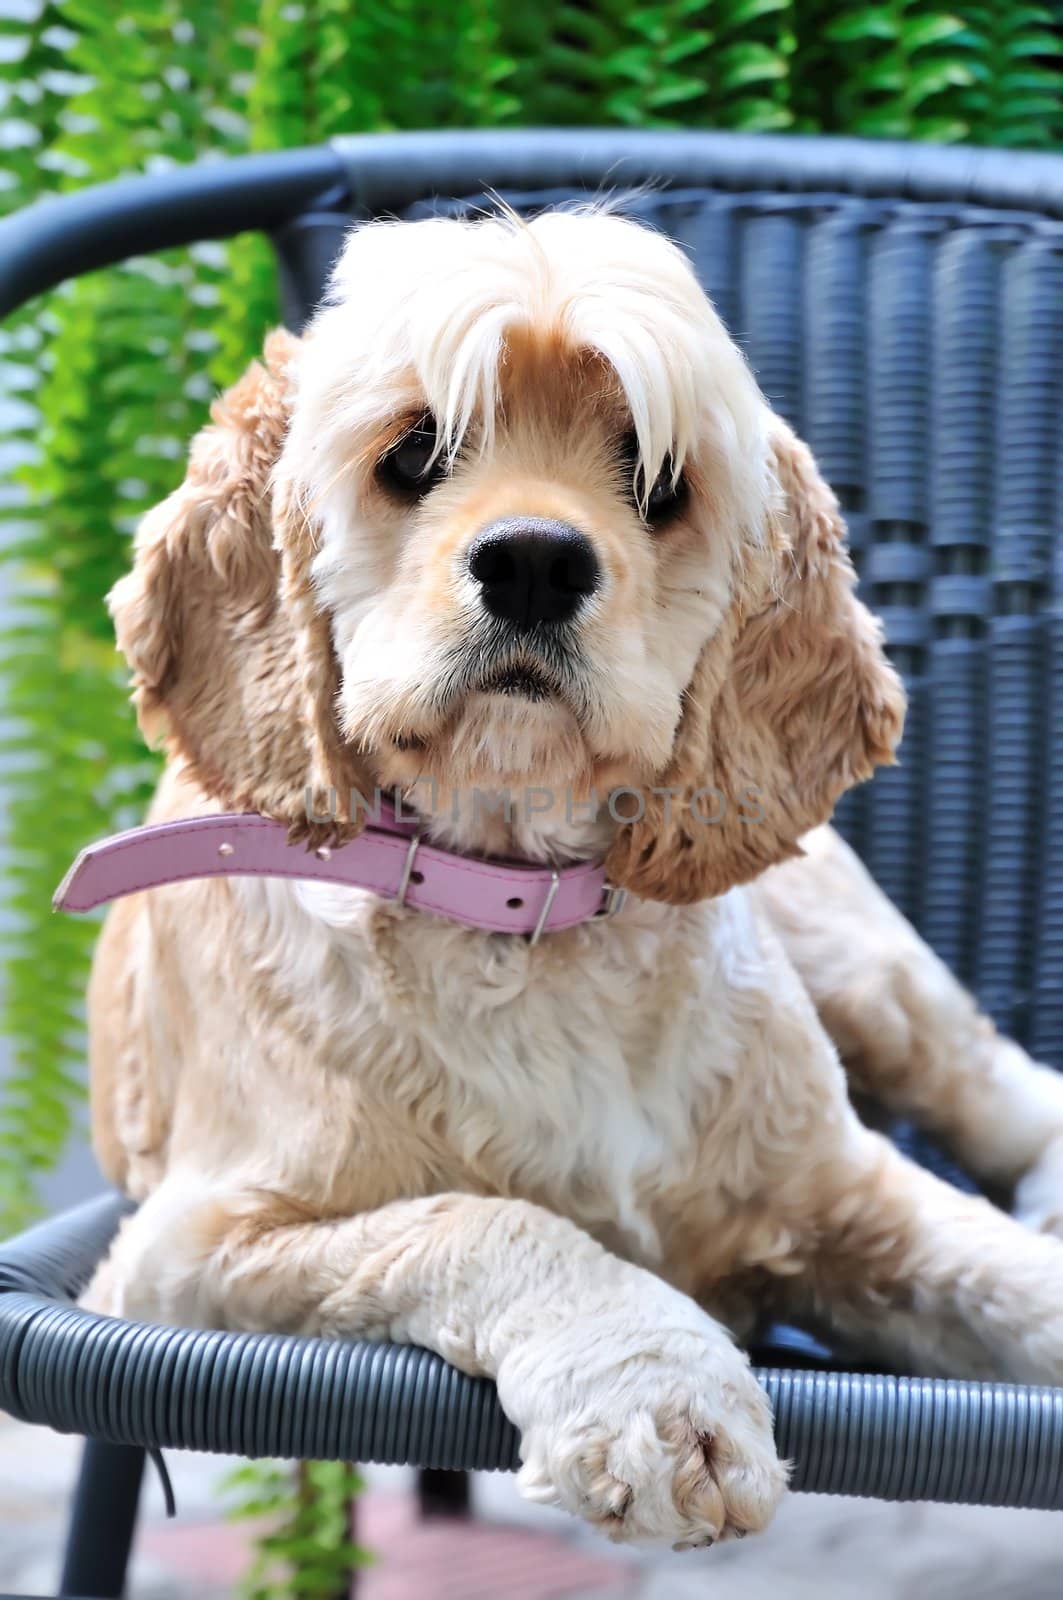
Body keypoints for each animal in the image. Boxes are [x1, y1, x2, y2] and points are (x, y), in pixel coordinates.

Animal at [85, 212, 1063, 1548]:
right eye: (416, 451)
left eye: (656, 482)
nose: (536, 563)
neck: (524, 917)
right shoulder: (183, 1258)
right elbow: (486, 1216)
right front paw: (658, 1388)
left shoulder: (850, 1188)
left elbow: (1008, 1278)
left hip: (861, 965)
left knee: (1001, 1086)